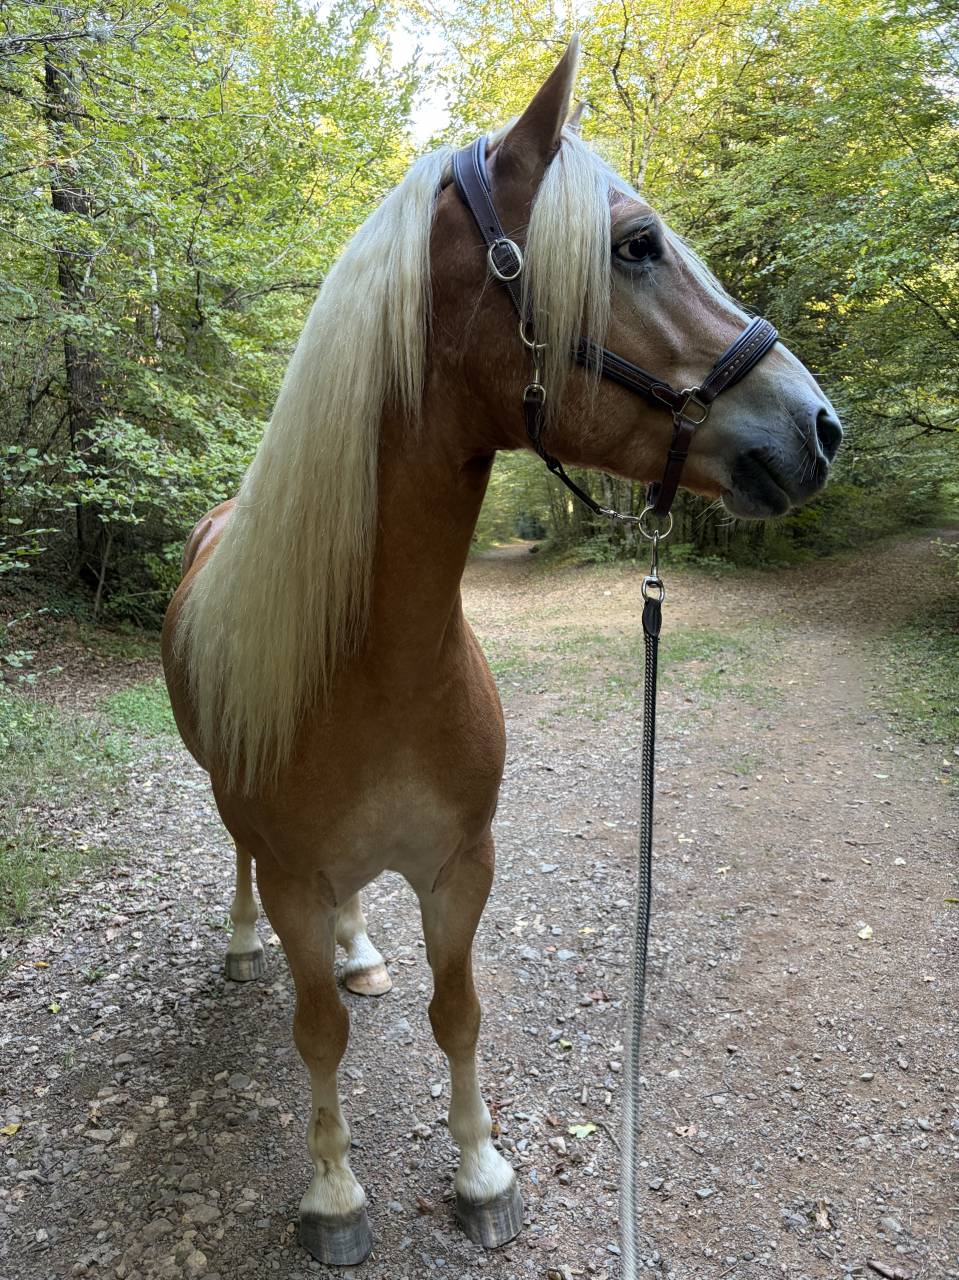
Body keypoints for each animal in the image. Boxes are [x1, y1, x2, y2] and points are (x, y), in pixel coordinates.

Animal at [161, 39, 841, 1266]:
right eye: (634, 244)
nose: (817, 426)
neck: (378, 662)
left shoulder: (460, 863)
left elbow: (456, 1007)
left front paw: (480, 1168)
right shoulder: (291, 873)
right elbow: (315, 1031)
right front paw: (334, 1194)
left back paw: (359, 949)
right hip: (246, 835)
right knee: (239, 873)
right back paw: (243, 946)